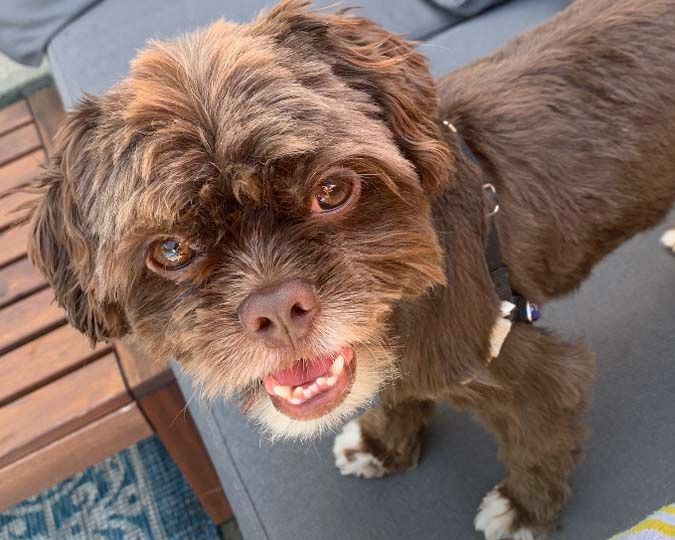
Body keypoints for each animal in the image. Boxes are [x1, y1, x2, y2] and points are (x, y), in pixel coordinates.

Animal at [14, 0, 675, 538]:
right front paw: (384, 446)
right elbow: (398, 394)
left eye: (332, 190)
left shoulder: (531, 373)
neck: (399, 314)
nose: (278, 308)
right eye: (170, 250)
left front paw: (526, 511)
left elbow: (539, 441)